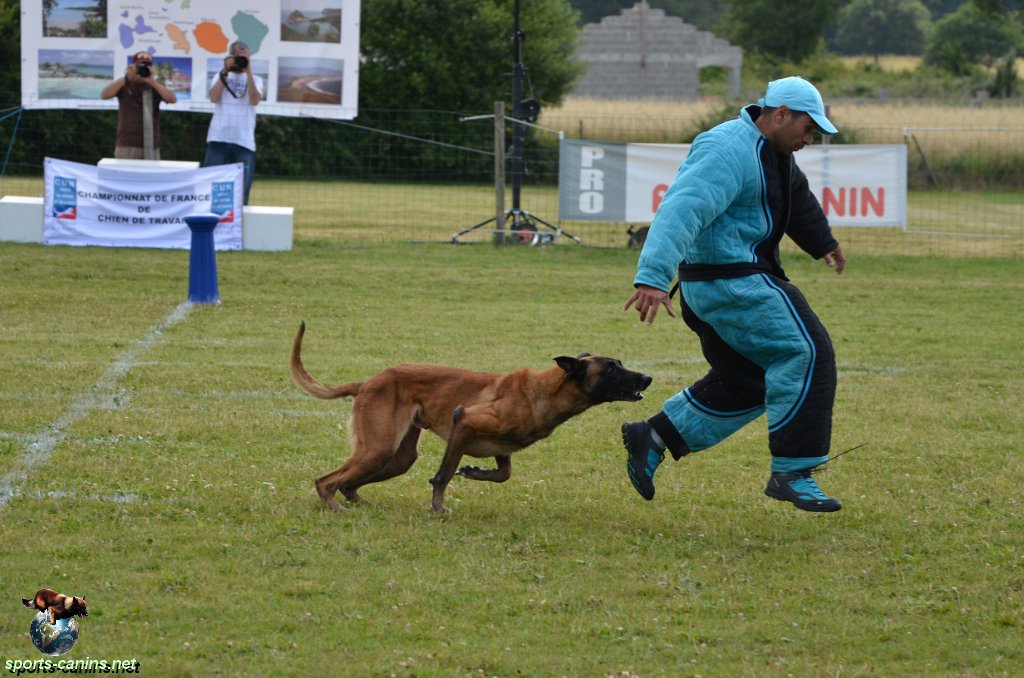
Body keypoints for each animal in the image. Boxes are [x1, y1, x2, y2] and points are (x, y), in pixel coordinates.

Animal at [290, 322, 652, 514]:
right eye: (611, 369)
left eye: (620, 363)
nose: (647, 378)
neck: (544, 391)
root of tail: (367, 382)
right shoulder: (462, 423)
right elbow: (442, 476)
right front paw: (438, 508)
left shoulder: (502, 449)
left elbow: (502, 474)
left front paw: (475, 472)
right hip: (377, 449)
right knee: (326, 481)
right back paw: (336, 507)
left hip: (396, 457)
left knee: (348, 482)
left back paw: (357, 502)